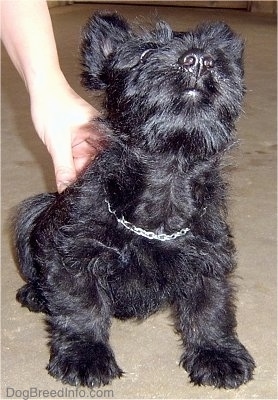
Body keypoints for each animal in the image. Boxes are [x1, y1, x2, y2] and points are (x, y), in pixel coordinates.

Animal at [14, 11, 254, 388]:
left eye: (215, 55)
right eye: (143, 54)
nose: (199, 60)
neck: (168, 177)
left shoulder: (208, 256)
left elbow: (211, 306)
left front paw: (218, 353)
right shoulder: (76, 253)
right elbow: (81, 306)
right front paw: (85, 355)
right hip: (34, 209)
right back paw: (36, 293)